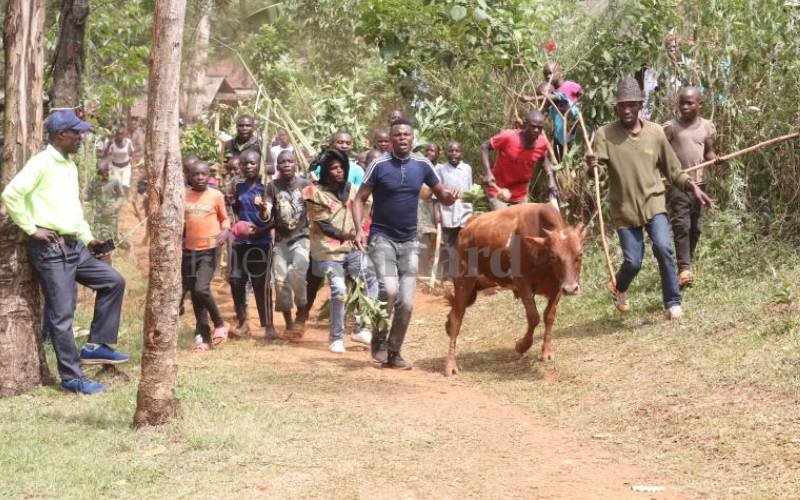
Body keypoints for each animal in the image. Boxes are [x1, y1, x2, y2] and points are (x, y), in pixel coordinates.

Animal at [444, 203, 586, 376]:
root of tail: (466, 229)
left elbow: (549, 316)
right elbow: (534, 317)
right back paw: (451, 365)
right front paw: (521, 345)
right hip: (463, 281)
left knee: (453, 315)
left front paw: (546, 352)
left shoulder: (557, 287)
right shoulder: (522, 283)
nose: (571, 289)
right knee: (457, 320)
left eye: (580, 254)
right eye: (554, 256)